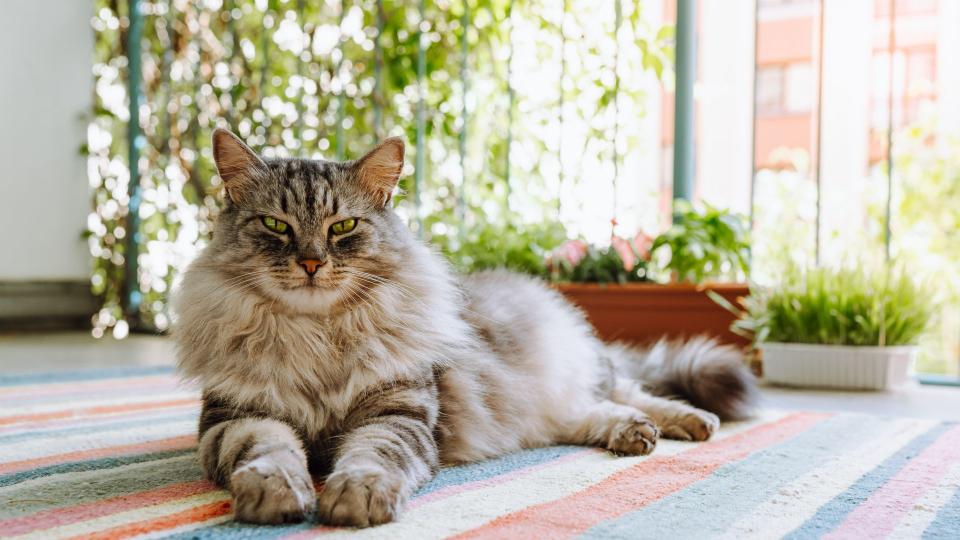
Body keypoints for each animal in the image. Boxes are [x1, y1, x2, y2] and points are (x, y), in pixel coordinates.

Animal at [172, 127, 756, 528]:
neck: (314, 335)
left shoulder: (397, 414)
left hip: (580, 373)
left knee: (631, 391)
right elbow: (269, 451)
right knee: (591, 415)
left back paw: (686, 422)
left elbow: (370, 457)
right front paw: (274, 493)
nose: (312, 263)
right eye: (275, 226)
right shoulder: (238, 417)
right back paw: (633, 433)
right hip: (543, 411)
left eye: (344, 227)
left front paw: (356, 497)